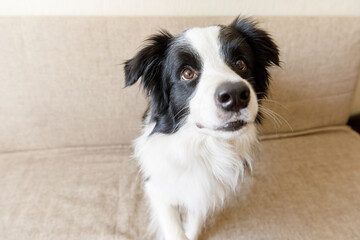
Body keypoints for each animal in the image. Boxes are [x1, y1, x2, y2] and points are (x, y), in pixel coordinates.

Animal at [125, 17, 280, 240]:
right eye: (187, 73)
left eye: (240, 63)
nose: (235, 95)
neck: (205, 146)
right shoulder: (157, 187)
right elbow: (174, 229)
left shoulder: (206, 189)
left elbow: (197, 215)